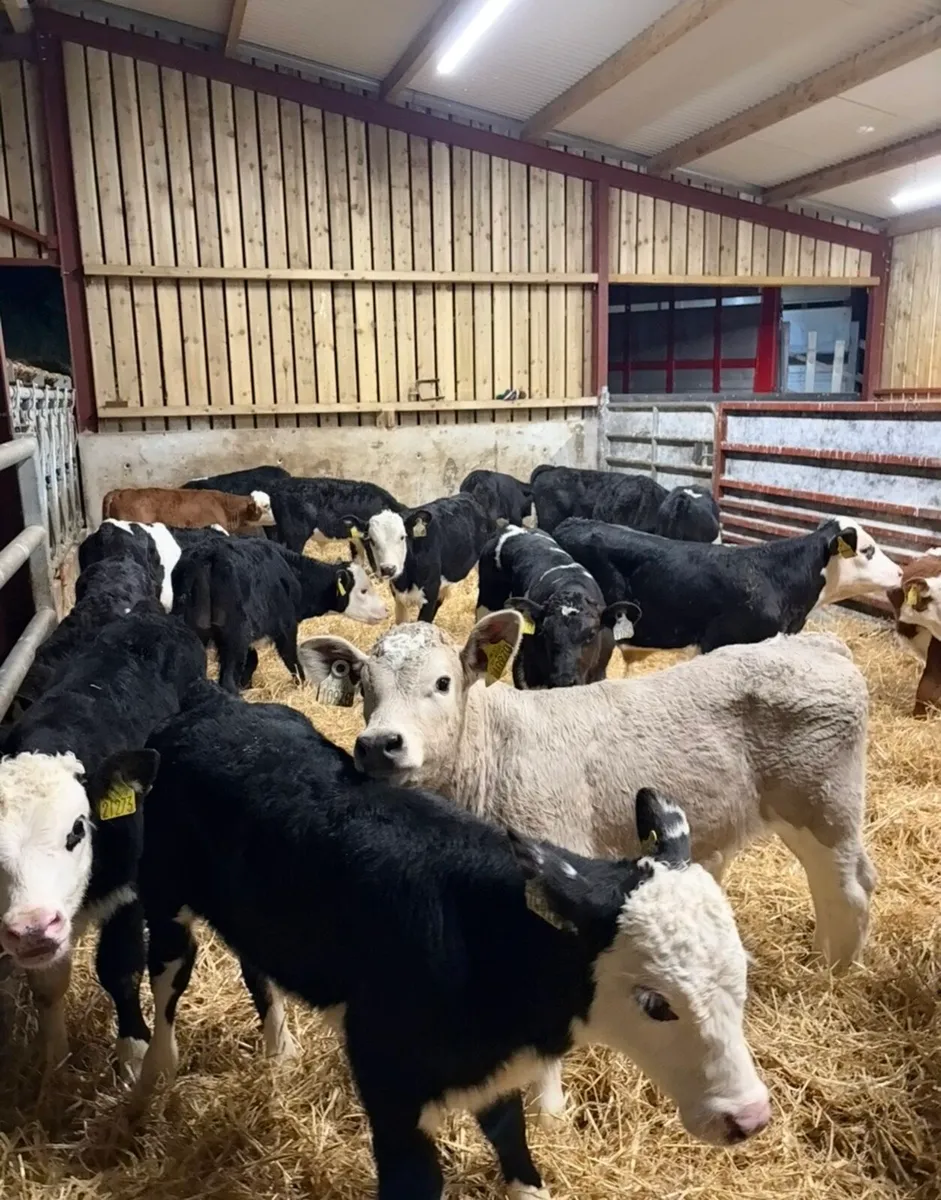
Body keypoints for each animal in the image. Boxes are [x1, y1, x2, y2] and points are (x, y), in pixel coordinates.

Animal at [0, 611, 205, 1080]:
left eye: (77, 829)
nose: (32, 929)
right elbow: (48, 984)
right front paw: (54, 1056)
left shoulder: (128, 891)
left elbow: (120, 967)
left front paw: (133, 1049)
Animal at [131, 679, 769, 1200]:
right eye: (655, 1002)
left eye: (741, 979)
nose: (750, 1118)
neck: (483, 949)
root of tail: (210, 706)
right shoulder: (388, 1086)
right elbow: (418, 1182)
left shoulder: (494, 1076)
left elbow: (515, 1149)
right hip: (162, 896)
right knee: (165, 980)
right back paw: (152, 1078)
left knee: (256, 966)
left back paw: (279, 1050)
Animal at [172, 537, 387, 692]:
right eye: (363, 590)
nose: (385, 610)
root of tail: (207, 556)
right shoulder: (286, 628)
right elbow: (292, 661)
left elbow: (252, 661)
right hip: (234, 635)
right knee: (227, 680)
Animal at [300, 617, 873, 1120]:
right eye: (363, 684)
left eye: (442, 683)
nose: (379, 744)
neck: (490, 752)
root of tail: (817, 643)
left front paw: (548, 1111)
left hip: (823, 807)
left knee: (847, 890)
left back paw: (831, 976)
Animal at [351, 494, 492, 624]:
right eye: (371, 540)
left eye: (402, 537)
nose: (388, 569)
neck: (406, 580)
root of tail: (467, 495)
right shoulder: (398, 596)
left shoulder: (430, 592)